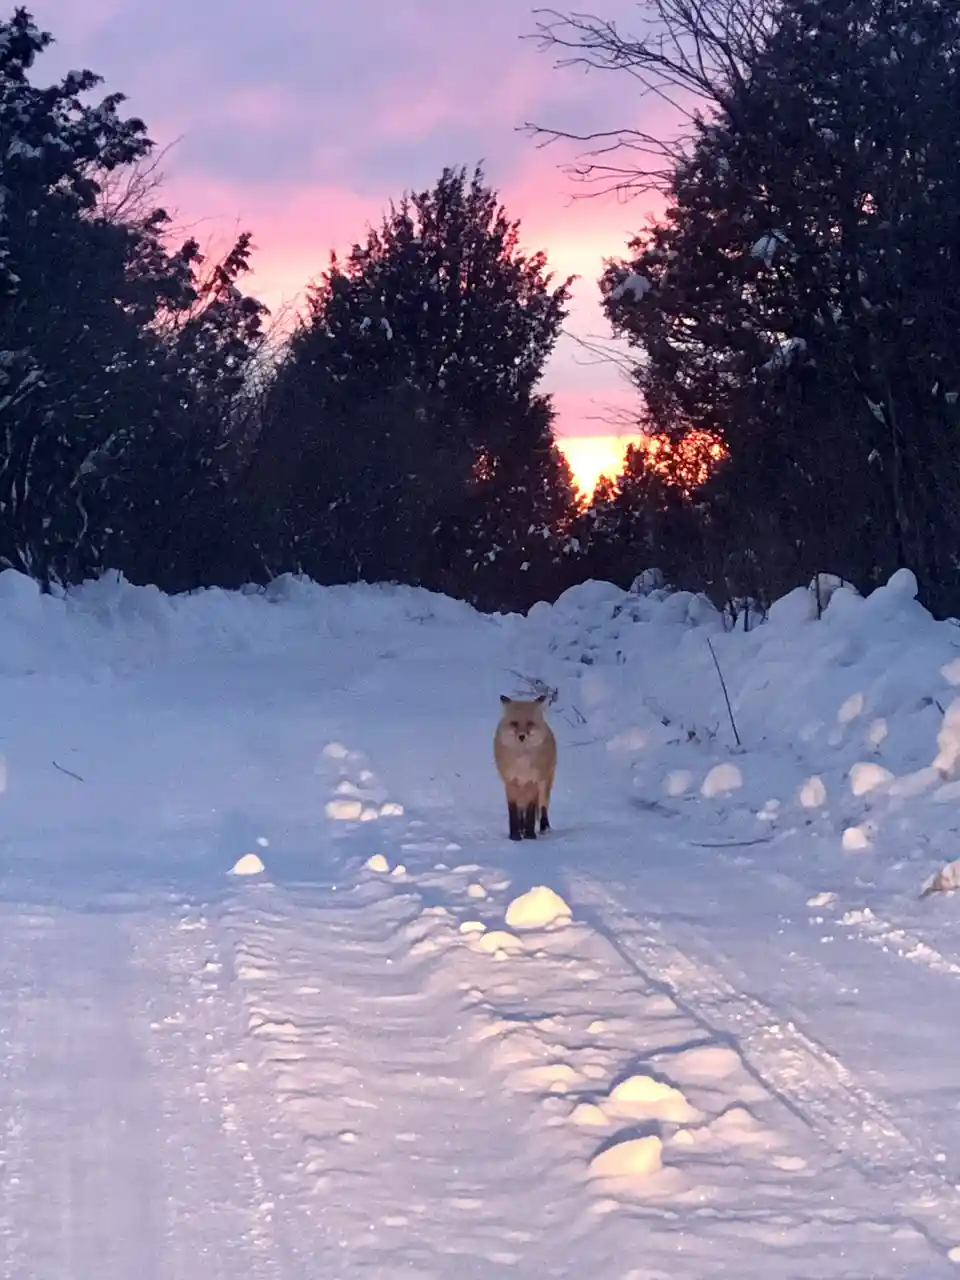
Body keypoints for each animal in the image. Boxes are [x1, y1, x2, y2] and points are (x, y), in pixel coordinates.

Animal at [494, 693, 557, 841]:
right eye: (514, 723)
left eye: (530, 723)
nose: (521, 736)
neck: (522, 765)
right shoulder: (511, 782)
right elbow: (513, 811)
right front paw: (515, 835)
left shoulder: (532, 782)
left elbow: (531, 811)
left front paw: (529, 835)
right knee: (521, 809)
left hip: (544, 783)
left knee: (543, 806)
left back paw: (544, 828)